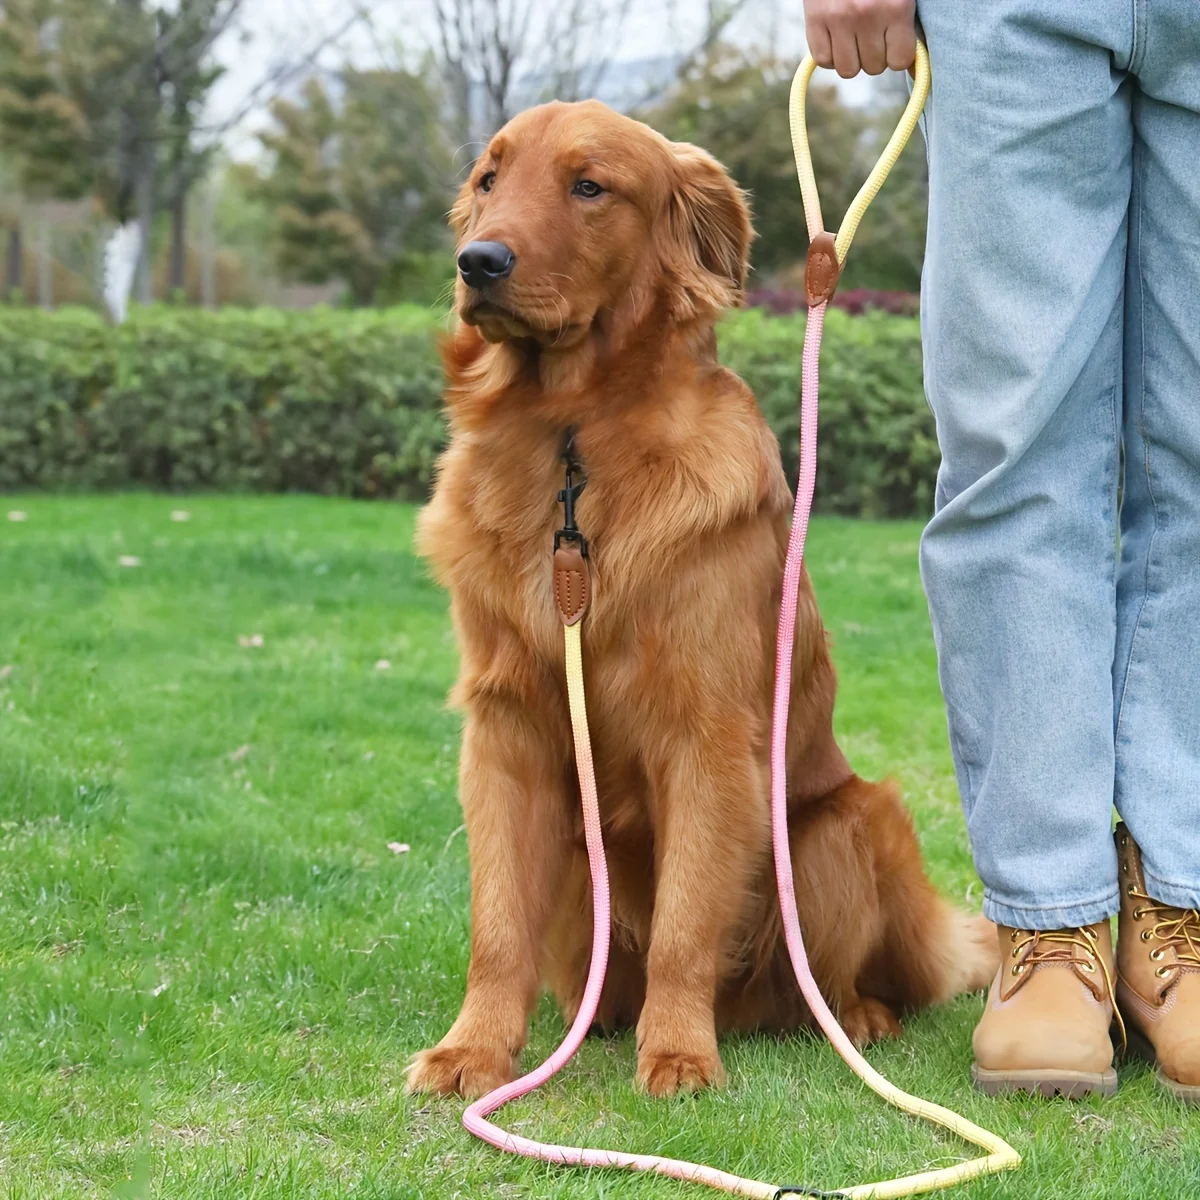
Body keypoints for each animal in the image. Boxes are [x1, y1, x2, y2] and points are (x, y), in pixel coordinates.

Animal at [405, 100, 993, 1099]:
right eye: (489, 178)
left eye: (589, 185)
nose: (477, 262)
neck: (571, 442)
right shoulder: (506, 731)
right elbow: (498, 926)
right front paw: (472, 1051)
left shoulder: (707, 735)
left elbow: (687, 922)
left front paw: (679, 1054)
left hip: (843, 826)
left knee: (827, 987)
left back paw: (851, 1019)